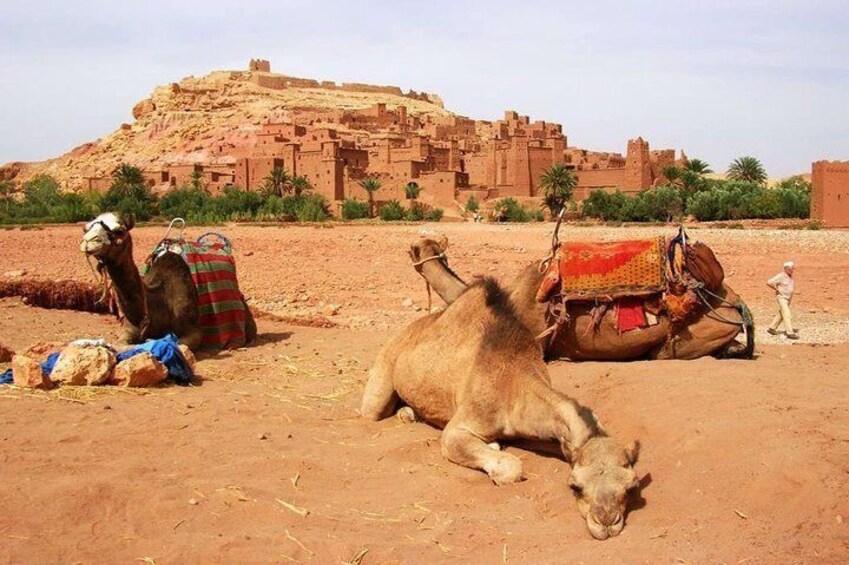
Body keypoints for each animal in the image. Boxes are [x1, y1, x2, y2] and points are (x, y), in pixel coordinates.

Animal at [361, 277, 641, 540]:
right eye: (575, 486)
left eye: (630, 487)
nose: (607, 522)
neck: (512, 384)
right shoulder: (459, 427)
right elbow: (510, 467)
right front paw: (496, 461)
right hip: (383, 373)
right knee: (372, 410)